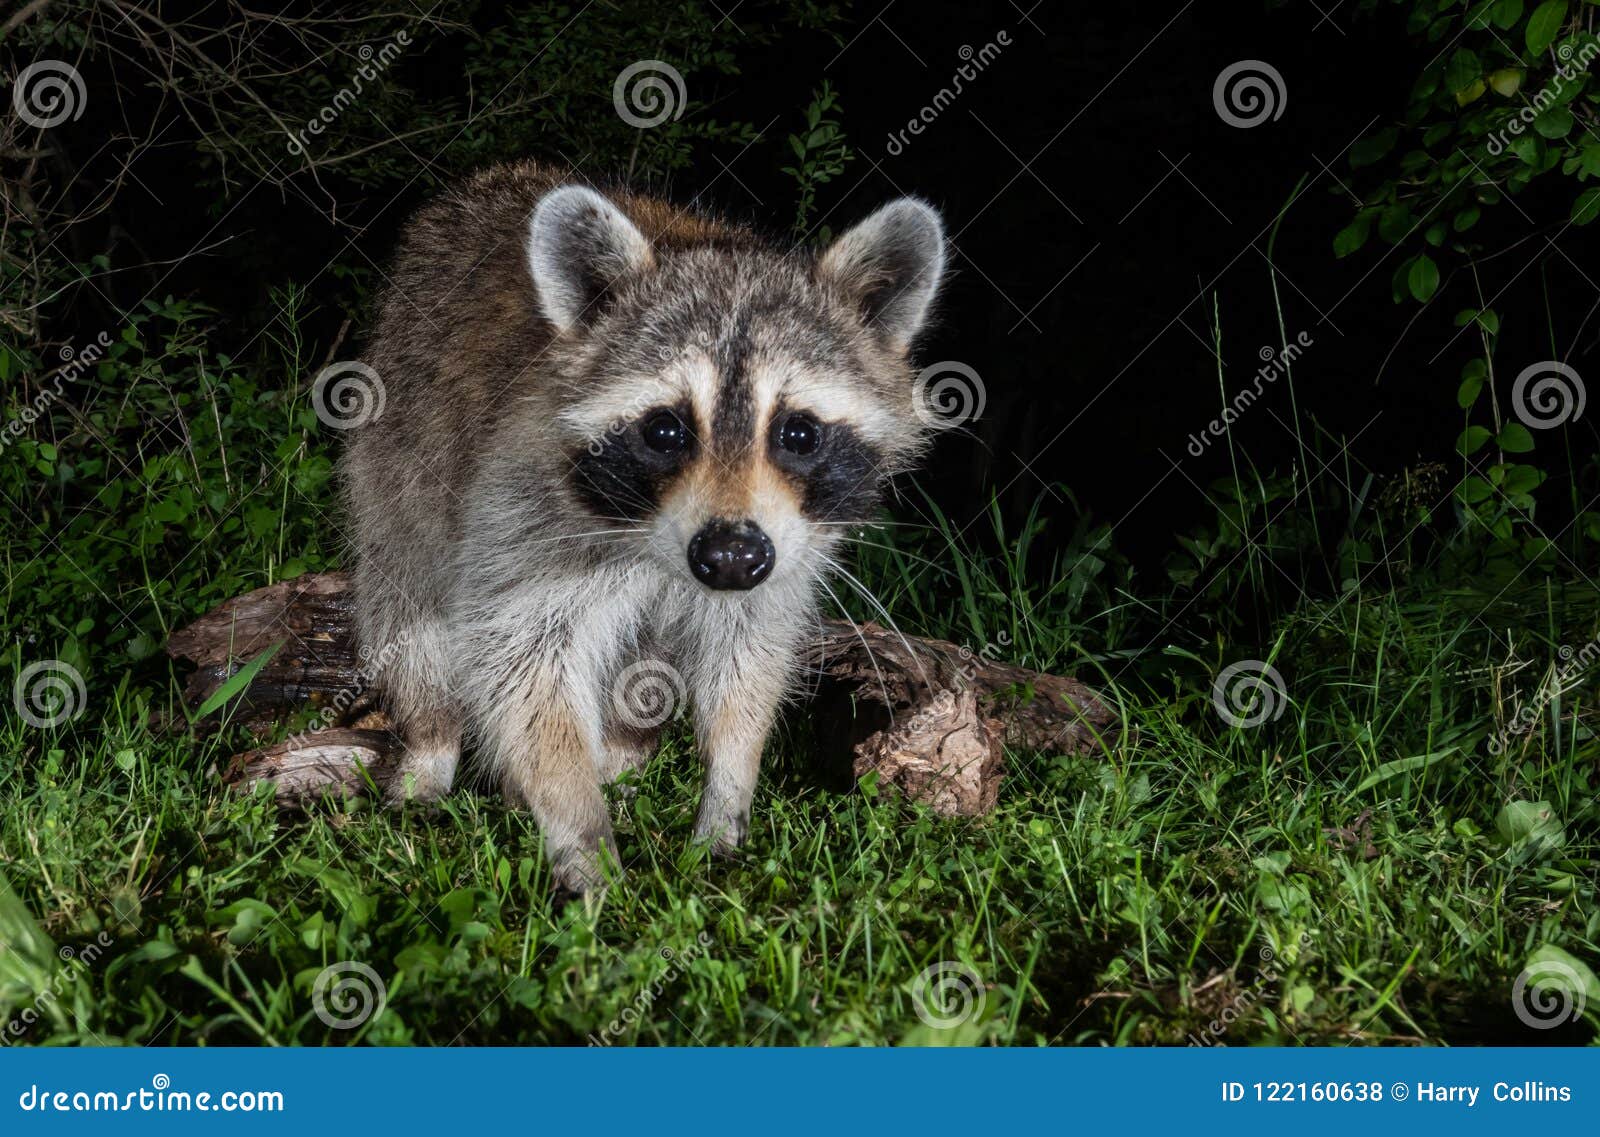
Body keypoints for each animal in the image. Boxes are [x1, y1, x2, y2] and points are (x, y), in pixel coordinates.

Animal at [342, 161, 946, 892]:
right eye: (665, 430)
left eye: (798, 433)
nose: (730, 557)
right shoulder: (521, 511)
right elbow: (523, 670)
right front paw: (582, 831)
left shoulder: (785, 551)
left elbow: (751, 653)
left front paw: (729, 788)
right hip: (398, 457)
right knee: (411, 615)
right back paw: (432, 742)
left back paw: (624, 756)